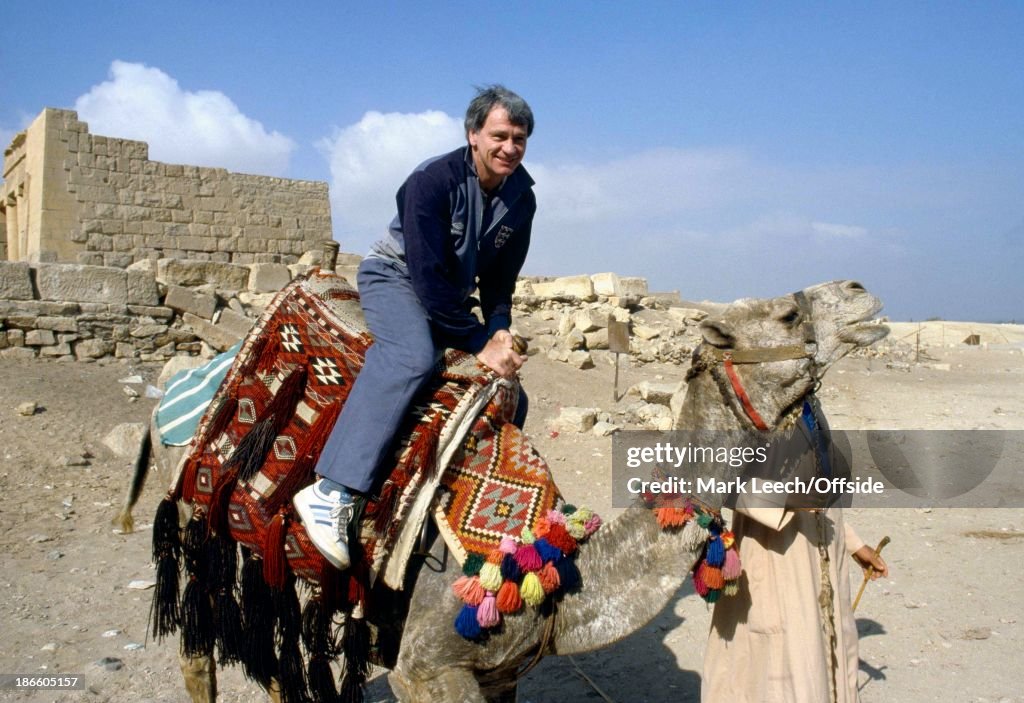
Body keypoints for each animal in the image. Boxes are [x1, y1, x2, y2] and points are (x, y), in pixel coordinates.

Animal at [134, 278, 888, 699]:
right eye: (788, 315)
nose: (862, 292)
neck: (554, 562)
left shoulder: (502, 673)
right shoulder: (425, 670)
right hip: (196, 520)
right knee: (200, 646)